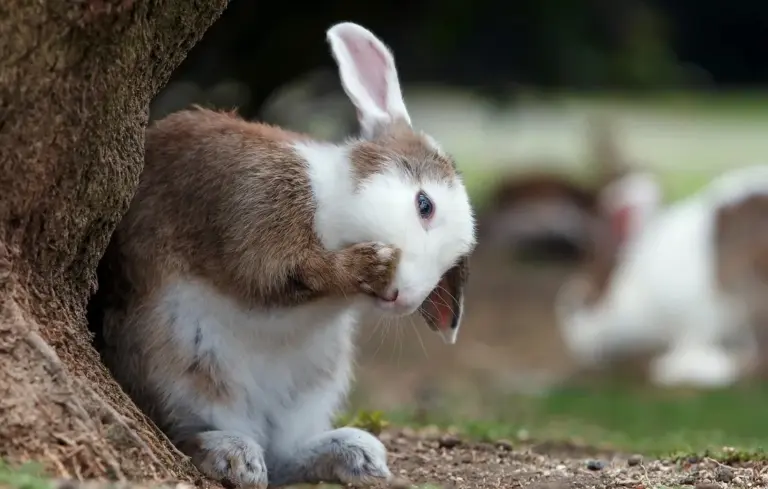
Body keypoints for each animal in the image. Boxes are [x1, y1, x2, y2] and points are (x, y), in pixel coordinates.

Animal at [92, 22, 476, 488]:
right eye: (424, 205)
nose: (402, 298)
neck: (331, 201)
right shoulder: (257, 217)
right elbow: (281, 274)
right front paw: (370, 262)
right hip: (185, 364)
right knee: (190, 431)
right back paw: (234, 457)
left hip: (313, 385)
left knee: (284, 454)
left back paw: (357, 455)